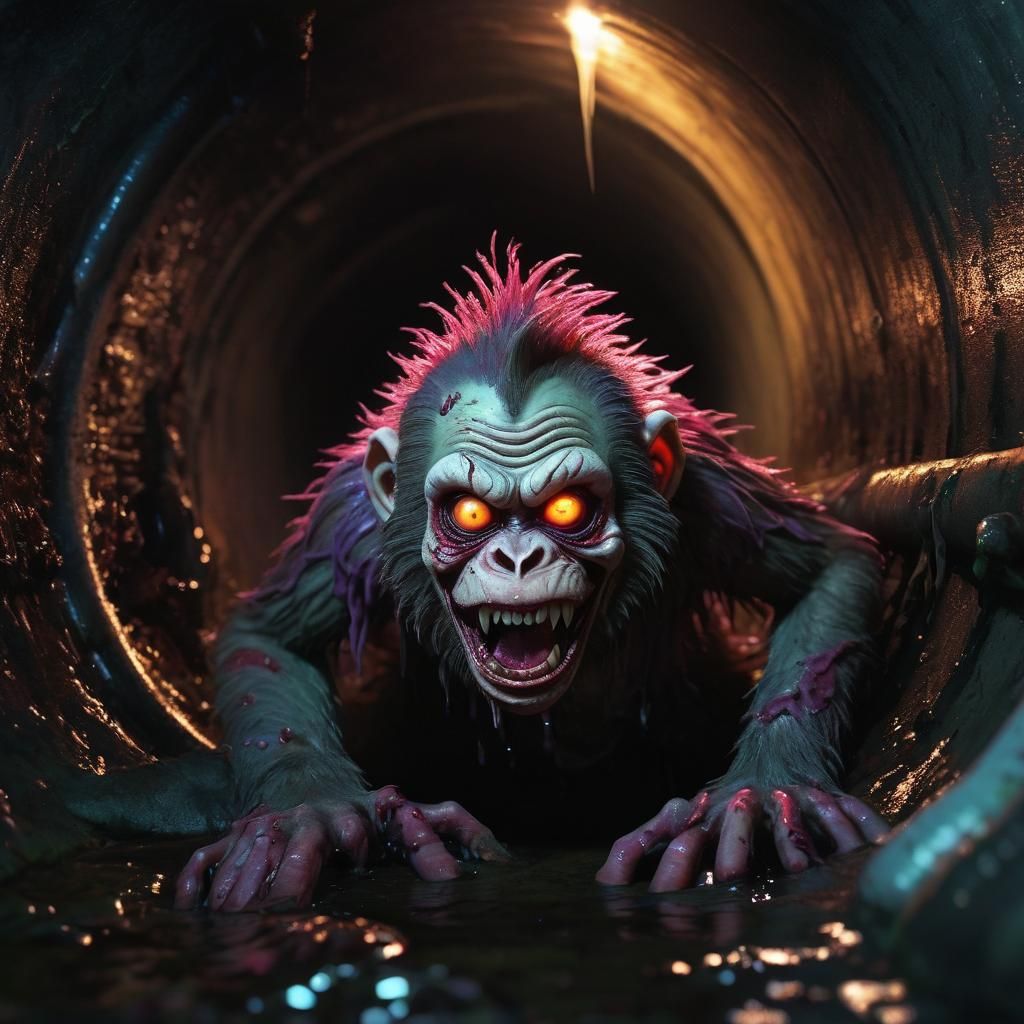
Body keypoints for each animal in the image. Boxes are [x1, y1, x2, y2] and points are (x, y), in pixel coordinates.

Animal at [170, 239, 888, 913]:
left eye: (567, 508)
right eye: (469, 512)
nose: (518, 559)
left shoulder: (710, 498)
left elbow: (832, 563)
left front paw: (767, 793)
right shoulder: (351, 525)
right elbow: (267, 636)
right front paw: (310, 812)